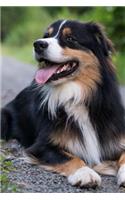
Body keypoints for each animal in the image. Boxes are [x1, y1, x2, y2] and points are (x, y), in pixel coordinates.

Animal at [1, 19, 125, 188]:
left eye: (70, 38)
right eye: (46, 36)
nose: (38, 44)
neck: (76, 95)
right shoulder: (42, 145)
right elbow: (70, 157)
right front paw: (85, 173)